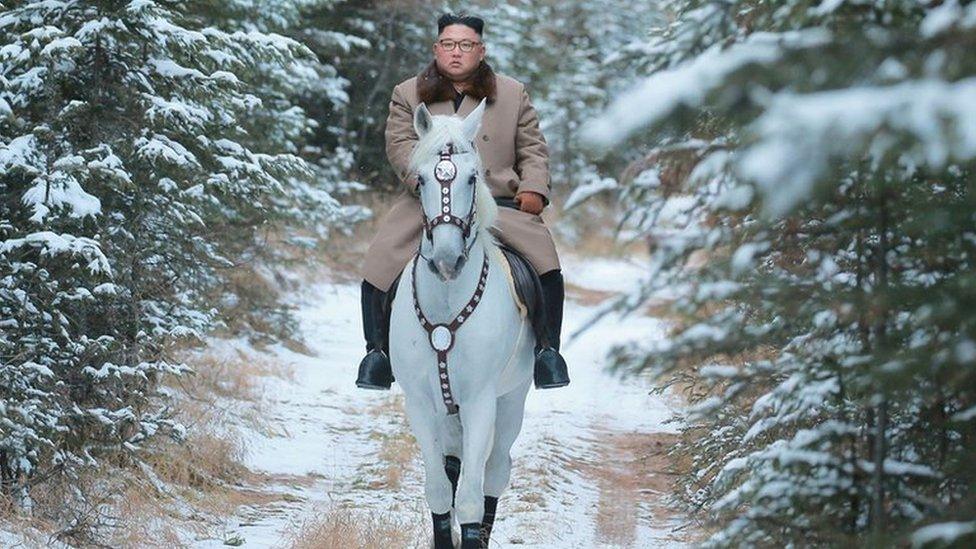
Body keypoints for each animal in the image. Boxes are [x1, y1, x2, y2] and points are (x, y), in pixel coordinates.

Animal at [390, 99, 532, 548]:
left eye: (473, 177)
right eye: (420, 180)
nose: (447, 260)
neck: (446, 304)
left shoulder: (480, 401)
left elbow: (470, 497)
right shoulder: (420, 403)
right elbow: (439, 488)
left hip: (511, 399)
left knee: (495, 471)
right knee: (453, 465)